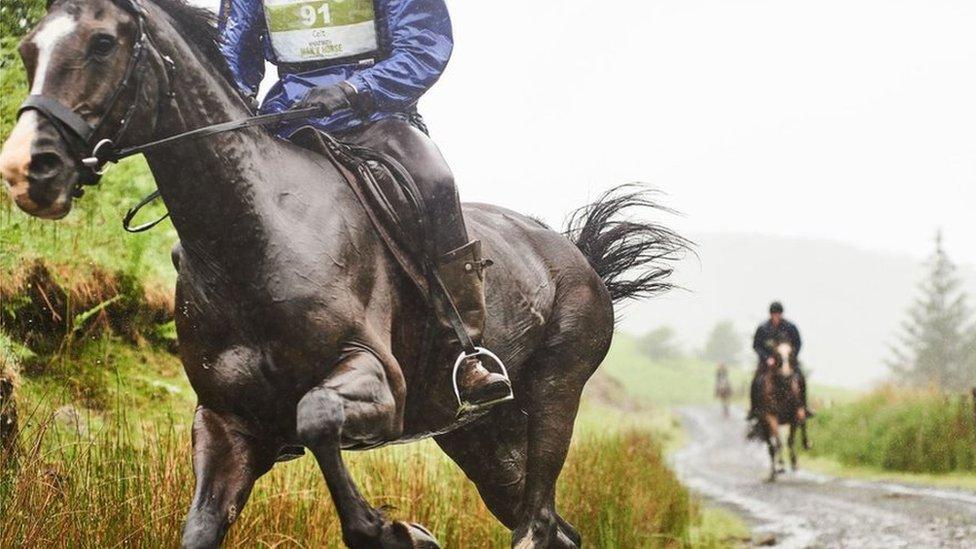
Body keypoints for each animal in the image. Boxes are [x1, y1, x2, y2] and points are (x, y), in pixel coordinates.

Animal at [0, 0, 688, 544]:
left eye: (102, 42)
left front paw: (398, 532)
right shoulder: (226, 423)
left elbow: (315, 418)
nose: (28, 170)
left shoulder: (378, 383)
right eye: (30, 47)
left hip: (553, 395)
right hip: (481, 436)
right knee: (551, 526)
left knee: (539, 522)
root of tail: (576, 256)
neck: (253, 236)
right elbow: (201, 526)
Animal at [756, 342, 808, 480]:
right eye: (777, 356)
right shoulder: (771, 417)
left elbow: (790, 440)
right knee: (771, 447)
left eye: (791, 355)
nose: (787, 376)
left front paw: (794, 463)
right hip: (764, 424)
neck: (782, 389)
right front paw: (780, 466)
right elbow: (778, 443)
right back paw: (773, 474)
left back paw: (807, 443)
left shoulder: (794, 417)